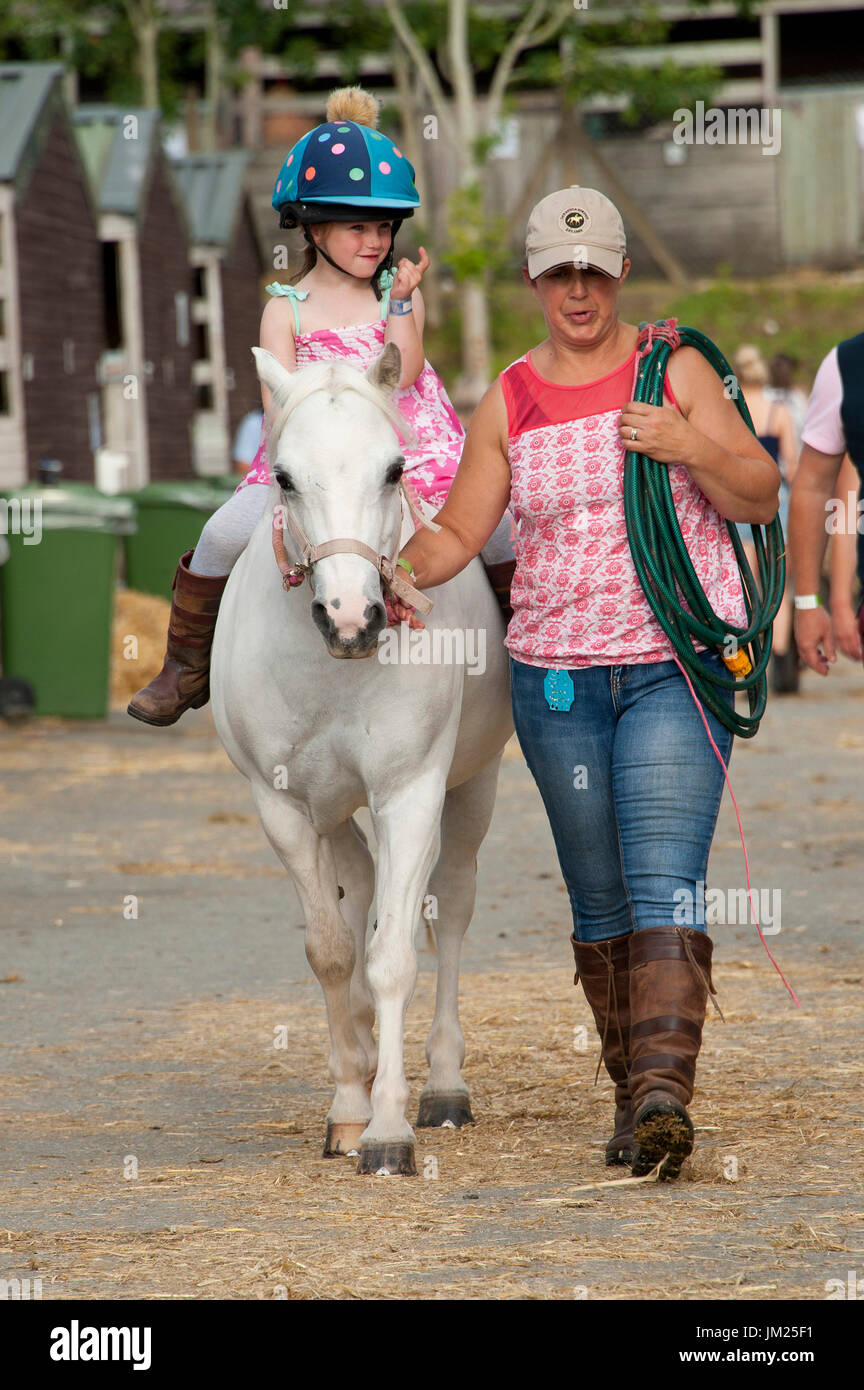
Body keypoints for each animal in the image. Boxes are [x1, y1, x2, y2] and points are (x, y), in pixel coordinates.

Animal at [211, 344, 513, 1173]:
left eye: (393, 468)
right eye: (284, 475)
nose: (352, 618)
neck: (334, 669)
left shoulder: (410, 793)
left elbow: (393, 958)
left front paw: (387, 1130)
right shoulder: (283, 809)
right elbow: (333, 953)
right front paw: (350, 1104)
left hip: (471, 789)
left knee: (451, 908)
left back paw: (441, 1085)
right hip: (336, 812)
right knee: (363, 893)